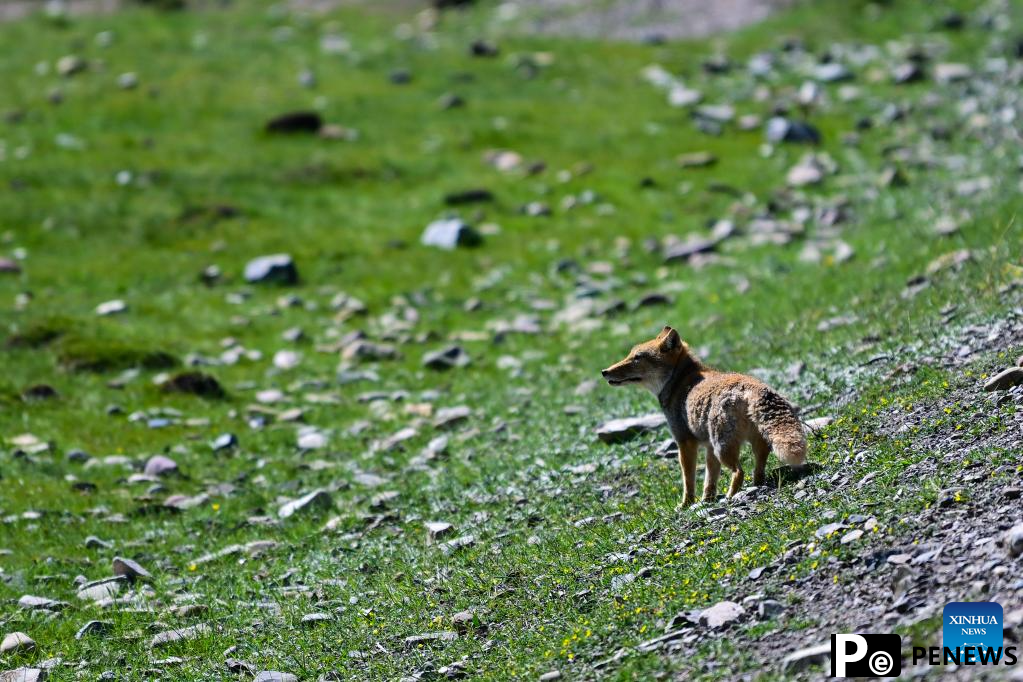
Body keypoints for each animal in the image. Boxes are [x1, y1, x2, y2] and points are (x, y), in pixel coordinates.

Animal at [597, 325, 806, 507]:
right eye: (630, 355)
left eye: (637, 358)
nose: (604, 372)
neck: (679, 382)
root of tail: (754, 387)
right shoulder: (708, 447)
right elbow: (709, 479)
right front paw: (707, 500)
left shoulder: (685, 442)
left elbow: (688, 479)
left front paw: (686, 504)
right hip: (742, 445)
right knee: (757, 467)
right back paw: (755, 485)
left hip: (723, 448)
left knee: (739, 472)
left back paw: (731, 496)